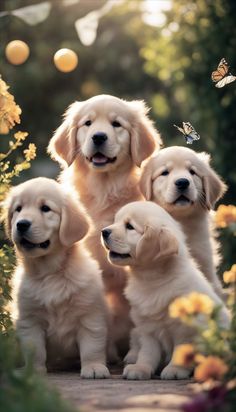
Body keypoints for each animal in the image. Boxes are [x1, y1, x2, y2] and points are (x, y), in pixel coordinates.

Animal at [4, 177, 109, 380]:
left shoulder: (90, 316)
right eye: (18, 209)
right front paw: (33, 372)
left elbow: (92, 346)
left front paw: (93, 367)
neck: (50, 273)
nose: (21, 224)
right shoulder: (30, 320)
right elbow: (35, 350)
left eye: (45, 208)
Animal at [101, 200, 229, 380]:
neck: (153, 281)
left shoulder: (185, 329)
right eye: (116, 221)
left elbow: (181, 351)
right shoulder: (148, 329)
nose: (104, 232)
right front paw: (141, 368)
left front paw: (175, 369)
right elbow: (148, 353)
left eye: (129, 226)